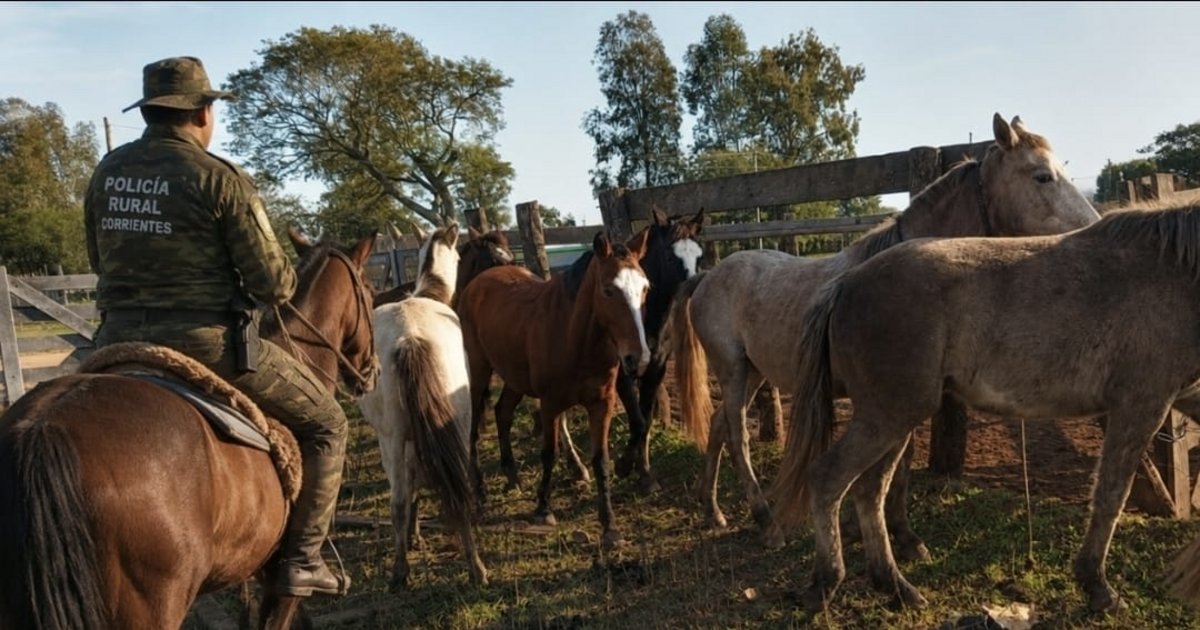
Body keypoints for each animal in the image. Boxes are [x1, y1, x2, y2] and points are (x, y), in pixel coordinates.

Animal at [357, 221, 489, 591]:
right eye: (460, 256)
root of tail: (410, 339)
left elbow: (411, 483)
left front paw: (413, 536)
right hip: (455, 423)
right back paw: (474, 567)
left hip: (393, 437)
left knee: (399, 500)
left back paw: (402, 571)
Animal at [457, 230, 651, 549]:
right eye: (608, 290)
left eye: (645, 288)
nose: (639, 358)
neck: (575, 337)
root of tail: (480, 281)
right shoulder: (549, 404)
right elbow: (550, 452)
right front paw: (543, 509)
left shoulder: (602, 404)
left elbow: (601, 460)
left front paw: (610, 526)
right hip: (478, 373)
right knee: (472, 429)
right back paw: (480, 494)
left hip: (514, 378)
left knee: (503, 413)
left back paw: (512, 476)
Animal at [668, 113, 1100, 551]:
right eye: (1042, 176)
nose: (1094, 230)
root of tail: (706, 278)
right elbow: (894, 462)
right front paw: (893, 533)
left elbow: (897, 460)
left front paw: (896, 532)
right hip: (733, 370)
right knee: (737, 434)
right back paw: (764, 520)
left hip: (754, 372)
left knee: (719, 426)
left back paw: (712, 508)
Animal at [769, 198, 1200, 614]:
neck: (1170, 273)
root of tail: (845, 284)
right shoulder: (1141, 405)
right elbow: (1111, 495)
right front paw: (1098, 586)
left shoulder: (1183, 396)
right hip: (887, 416)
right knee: (828, 479)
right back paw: (827, 583)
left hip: (895, 420)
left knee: (869, 490)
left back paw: (895, 585)